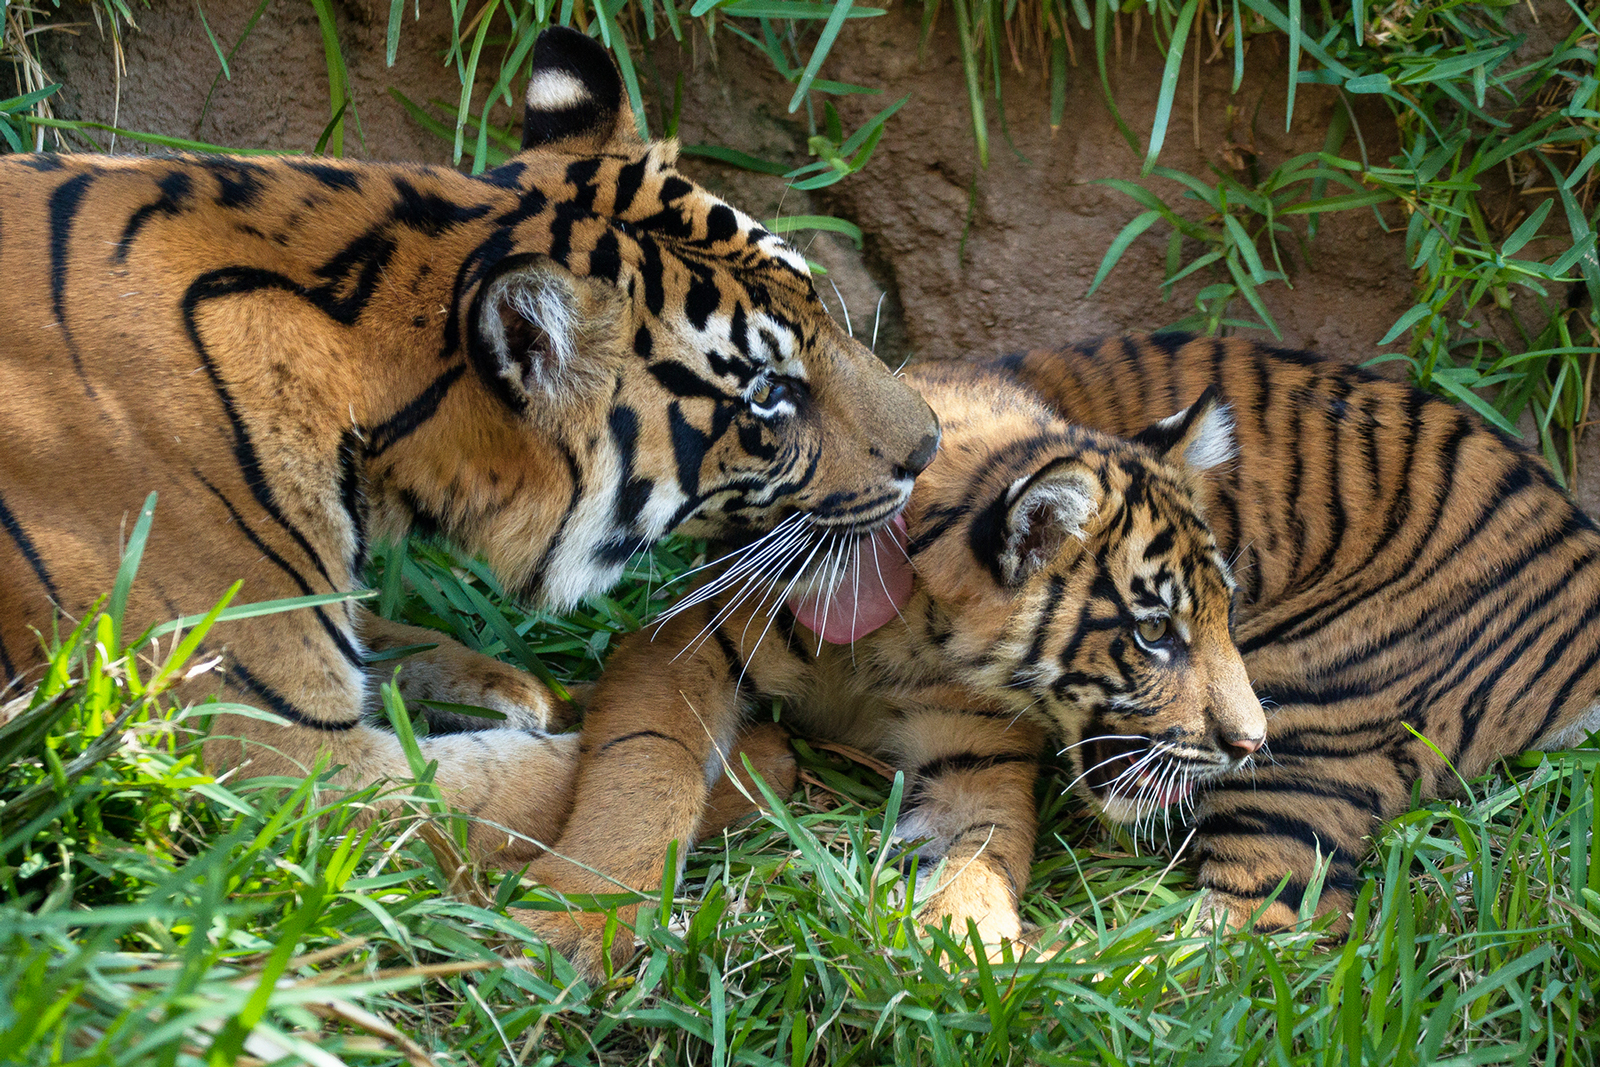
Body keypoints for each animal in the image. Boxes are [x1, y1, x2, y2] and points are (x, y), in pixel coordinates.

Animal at [0, 24, 934, 863]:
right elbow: (527, 780)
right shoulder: (279, 757)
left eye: (820, 305)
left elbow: (402, 640)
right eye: (768, 394)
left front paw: (520, 689)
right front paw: (752, 755)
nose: (927, 448)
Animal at [524, 334, 1600, 979]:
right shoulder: (681, 639)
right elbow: (645, 770)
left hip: (1314, 720)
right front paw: (579, 920)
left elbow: (976, 855)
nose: (1247, 737)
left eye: (1222, 613)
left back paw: (1070, 964)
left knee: (1251, 938)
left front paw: (964, 954)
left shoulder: (975, 755)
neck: (903, 631)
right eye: (1155, 630)